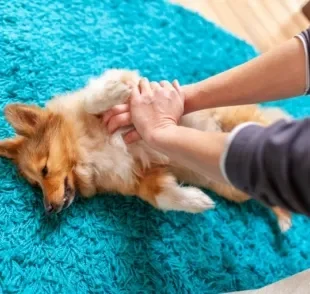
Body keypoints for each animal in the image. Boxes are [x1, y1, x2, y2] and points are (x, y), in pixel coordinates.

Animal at [0, 68, 294, 232]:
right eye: (35, 184)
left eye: (44, 170)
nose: (48, 209)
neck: (85, 154)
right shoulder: (142, 177)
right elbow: (162, 197)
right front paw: (196, 201)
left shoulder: (125, 98)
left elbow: (92, 100)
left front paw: (113, 92)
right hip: (236, 185)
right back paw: (284, 217)